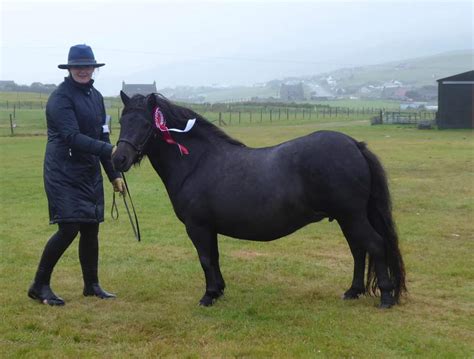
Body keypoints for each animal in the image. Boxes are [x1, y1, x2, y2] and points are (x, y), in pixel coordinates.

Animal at [113, 93, 406, 310]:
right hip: (348, 217)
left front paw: (208, 296)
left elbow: (205, 259)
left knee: (375, 245)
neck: (197, 162)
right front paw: (218, 290)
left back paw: (386, 297)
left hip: (351, 215)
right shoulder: (209, 228)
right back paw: (353, 291)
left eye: (146, 124)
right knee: (358, 250)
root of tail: (354, 144)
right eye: (122, 120)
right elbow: (214, 258)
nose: (118, 159)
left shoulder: (198, 227)